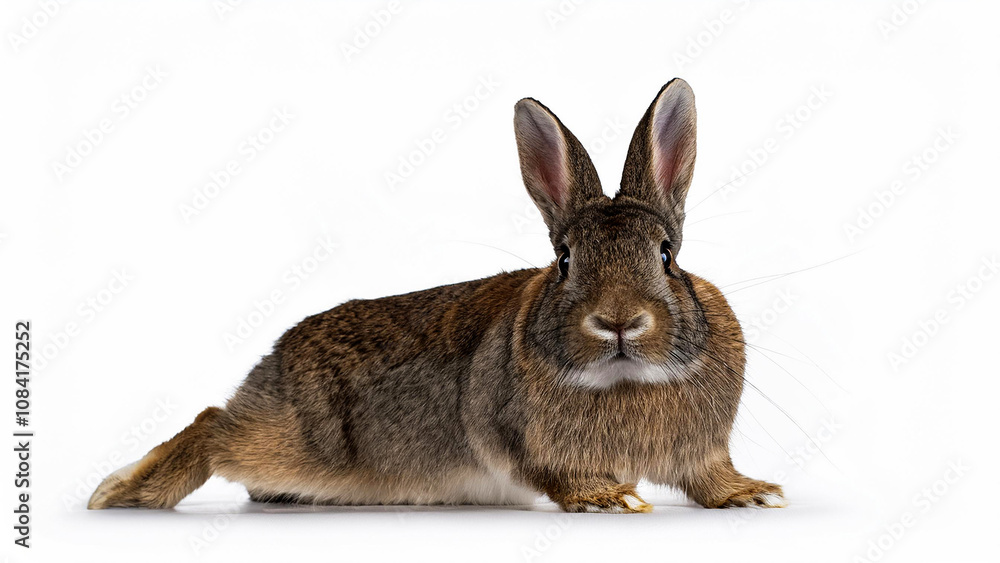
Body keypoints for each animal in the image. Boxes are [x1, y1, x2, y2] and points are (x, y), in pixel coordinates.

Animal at [88, 78, 784, 513]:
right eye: (564, 262)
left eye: (667, 257)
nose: (618, 321)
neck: (623, 380)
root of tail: (269, 368)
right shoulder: (525, 442)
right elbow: (561, 477)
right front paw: (610, 499)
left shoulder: (699, 455)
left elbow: (709, 477)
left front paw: (752, 493)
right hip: (293, 442)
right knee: (212, 426)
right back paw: (120, 492)